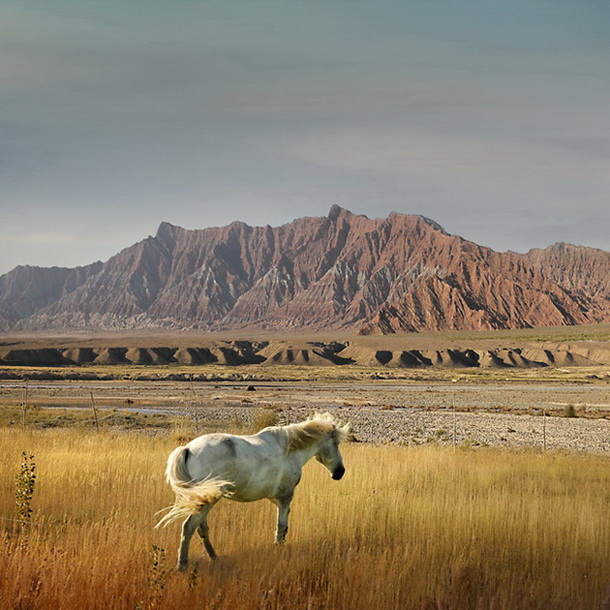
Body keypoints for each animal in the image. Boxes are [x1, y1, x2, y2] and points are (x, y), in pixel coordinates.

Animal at [154, 410, 350, 568]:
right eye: (336, 443)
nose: (340, 472)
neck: (290, 450)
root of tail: (187, 448)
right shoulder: (286, 497)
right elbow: (281, 526)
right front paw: (278, 549)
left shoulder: (277, 499)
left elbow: (283, 527)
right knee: (189, 527)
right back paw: (182, 565)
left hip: (202, 502)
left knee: (201, 528)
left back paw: (214, 557)